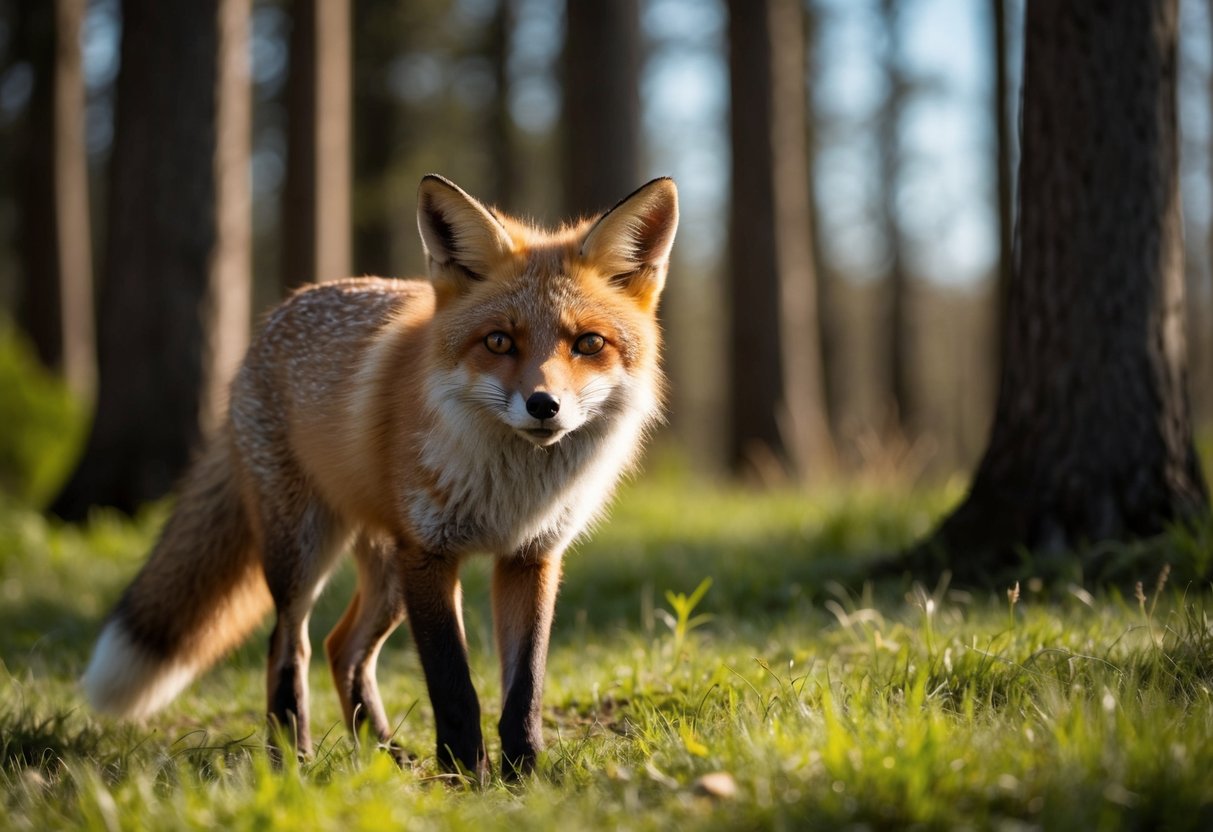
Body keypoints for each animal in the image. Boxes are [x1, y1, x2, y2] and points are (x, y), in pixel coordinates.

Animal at [81, 174, 678, 779]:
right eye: (498, 341)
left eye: (588, 343)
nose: (543, 405)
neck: (511, 493)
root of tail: (278, 313)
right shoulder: (430, 555)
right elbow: (453, 686)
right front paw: (466, 777)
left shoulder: (530, 557)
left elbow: (525, 688)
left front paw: (523, 776)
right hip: (307, 552)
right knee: (288, 645)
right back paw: (293, 758)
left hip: (389, 570)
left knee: (342, 648)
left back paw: (385, 755)